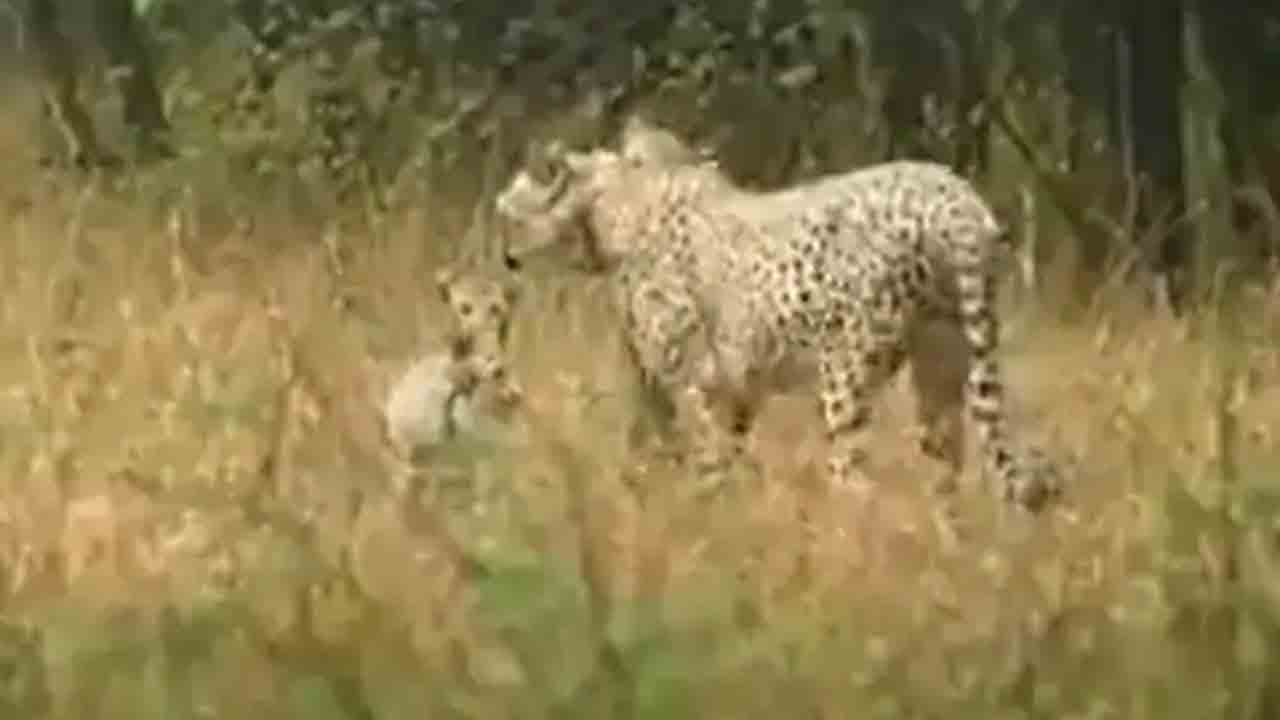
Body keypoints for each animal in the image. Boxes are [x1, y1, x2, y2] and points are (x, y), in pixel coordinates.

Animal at [495, 139, 1062, 514]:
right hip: (943, 365)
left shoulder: (692, 380)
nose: (504, 255)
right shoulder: (736, 389)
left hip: (845, 378)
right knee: (948, 475)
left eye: (509, 210)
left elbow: (696, 456)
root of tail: (951, 192)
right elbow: (712, 457)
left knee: (855, 484)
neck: (617, 203)